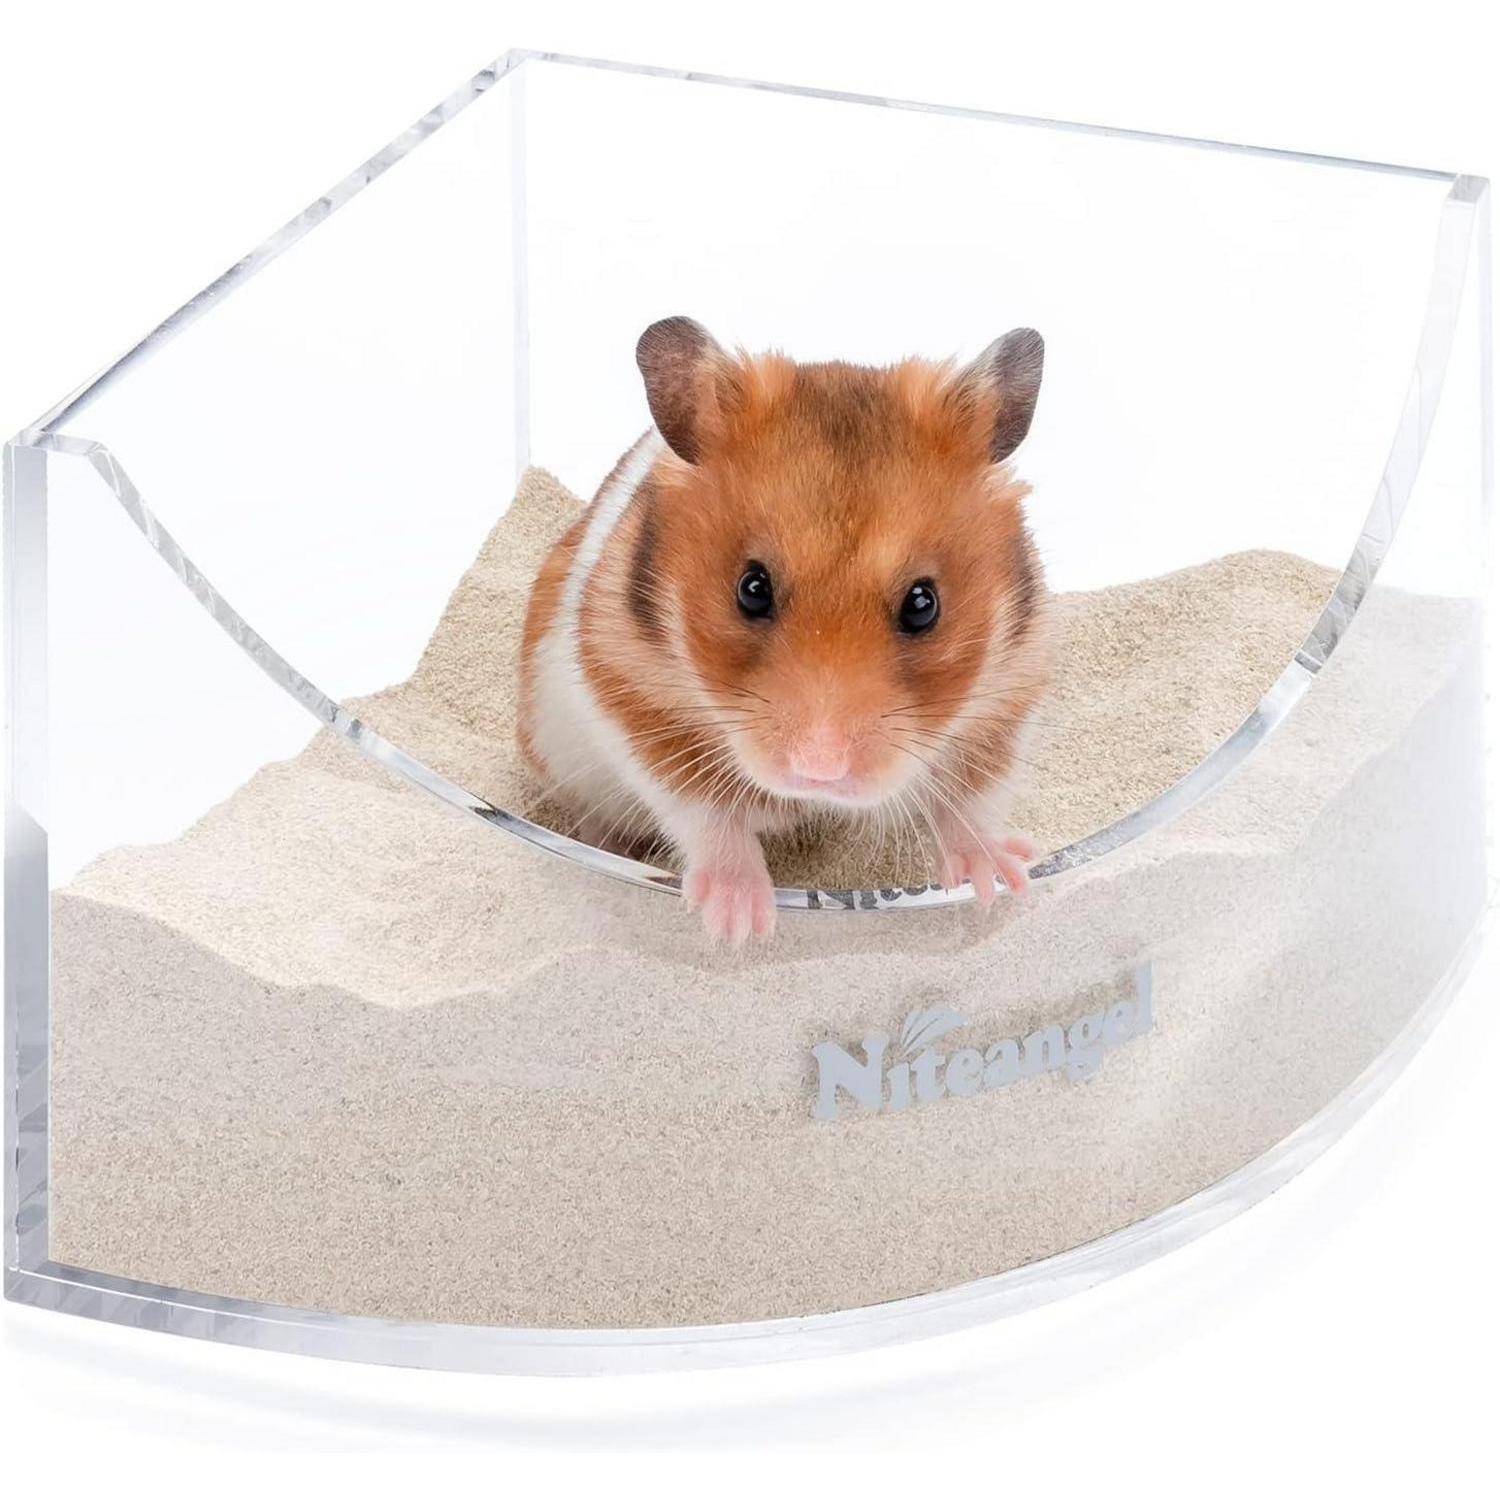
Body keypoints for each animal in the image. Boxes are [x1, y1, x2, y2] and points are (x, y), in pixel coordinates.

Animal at [518, 316, 1050, 943]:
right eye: (751, 589)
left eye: (924, 604)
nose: (818, 770)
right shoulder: (631, 695)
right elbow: (705, 812)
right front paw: (739, 926)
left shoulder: (1006, 700)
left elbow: (971, 803)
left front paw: (1001, 883)